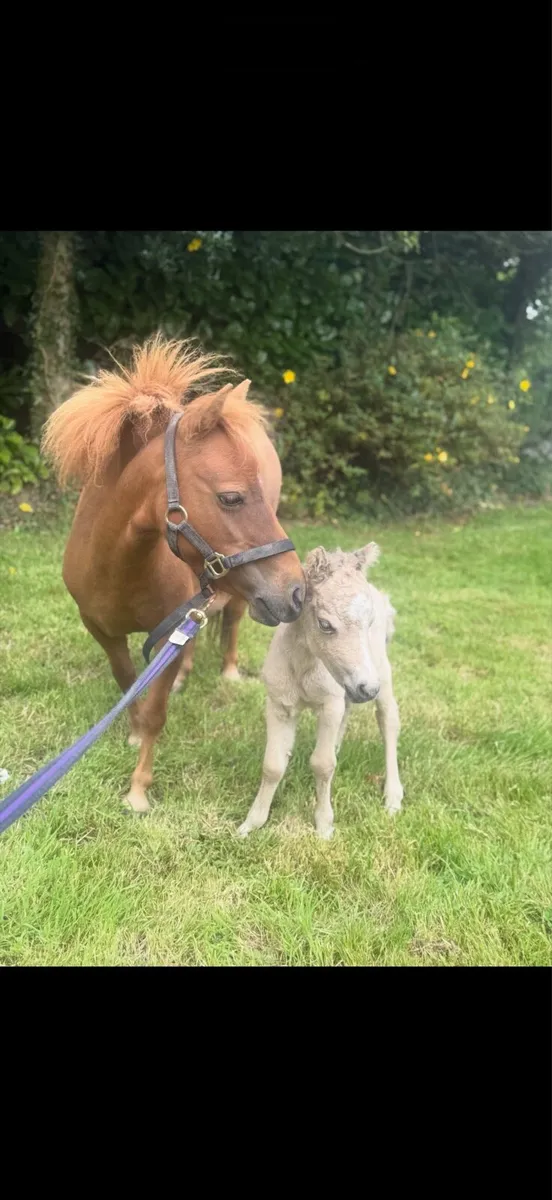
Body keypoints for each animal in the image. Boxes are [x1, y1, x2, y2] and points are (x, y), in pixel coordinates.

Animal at [43, 336, 305, 815]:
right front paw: (131, 732)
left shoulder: (170, 629)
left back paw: (228, 673)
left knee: (231, 621)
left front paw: (138, 790)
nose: (297, 592)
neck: (119, 566)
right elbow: (128, 683)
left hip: (237, 599)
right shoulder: (103, 631)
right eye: (231, 497)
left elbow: (156, 713)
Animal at [238, 543, 403, 840]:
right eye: (325, 624)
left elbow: (323, 765)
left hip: (380, 672)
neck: (304, 667)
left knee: (388, 720)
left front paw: (324, 826)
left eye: (370, 621)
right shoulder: (279, 703)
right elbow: (273, 765)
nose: (367, 689)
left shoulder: (330, 703)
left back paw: (393, 797)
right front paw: (251, 824)